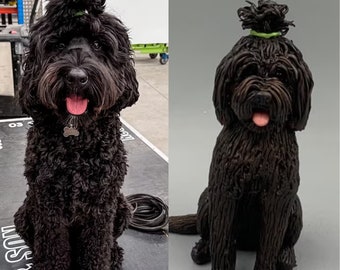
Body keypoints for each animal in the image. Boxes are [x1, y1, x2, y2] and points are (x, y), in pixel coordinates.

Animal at [13, 0, 138, 270]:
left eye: (99, 44)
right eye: (58, 45)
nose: (76, 78)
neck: (77, 139)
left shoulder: (102, 205)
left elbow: (97, 248)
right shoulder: (48, 205)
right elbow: (52, 249)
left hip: (122, 206)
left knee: (111, 239)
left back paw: (114, 254)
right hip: (25, 212)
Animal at [169, 1, 314, 268]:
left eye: (281, 74)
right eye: (248, 70)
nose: (262, 96)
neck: (256, 140)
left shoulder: (278, 199)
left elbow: (270, 244)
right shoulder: (224, 194)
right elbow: (222, 240)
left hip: (295, 207)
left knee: (287, 240)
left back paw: (286, 256)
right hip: (206, 198)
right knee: (207, 233)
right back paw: (202, 249)